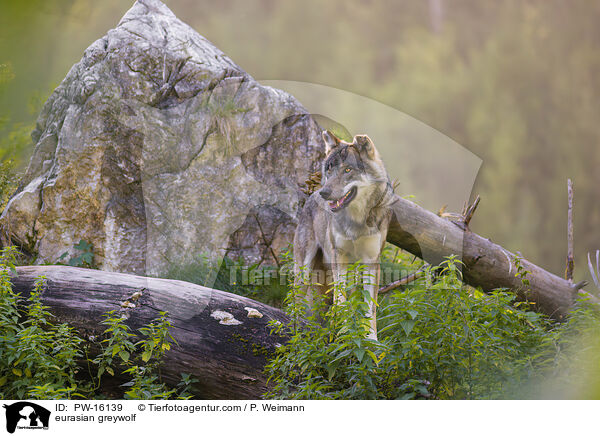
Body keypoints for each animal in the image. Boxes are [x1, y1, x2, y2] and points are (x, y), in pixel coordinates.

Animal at [294, 130, 396, 340]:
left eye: (348, 170)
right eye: (329, 170)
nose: (324, 193)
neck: (356, 221)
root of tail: (310, 197)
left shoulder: (371, 261)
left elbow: (370, 306)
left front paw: (371, 338)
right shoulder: (339, 255)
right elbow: (340, 299)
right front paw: (339, 333)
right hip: (304, 269)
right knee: (298, 300)